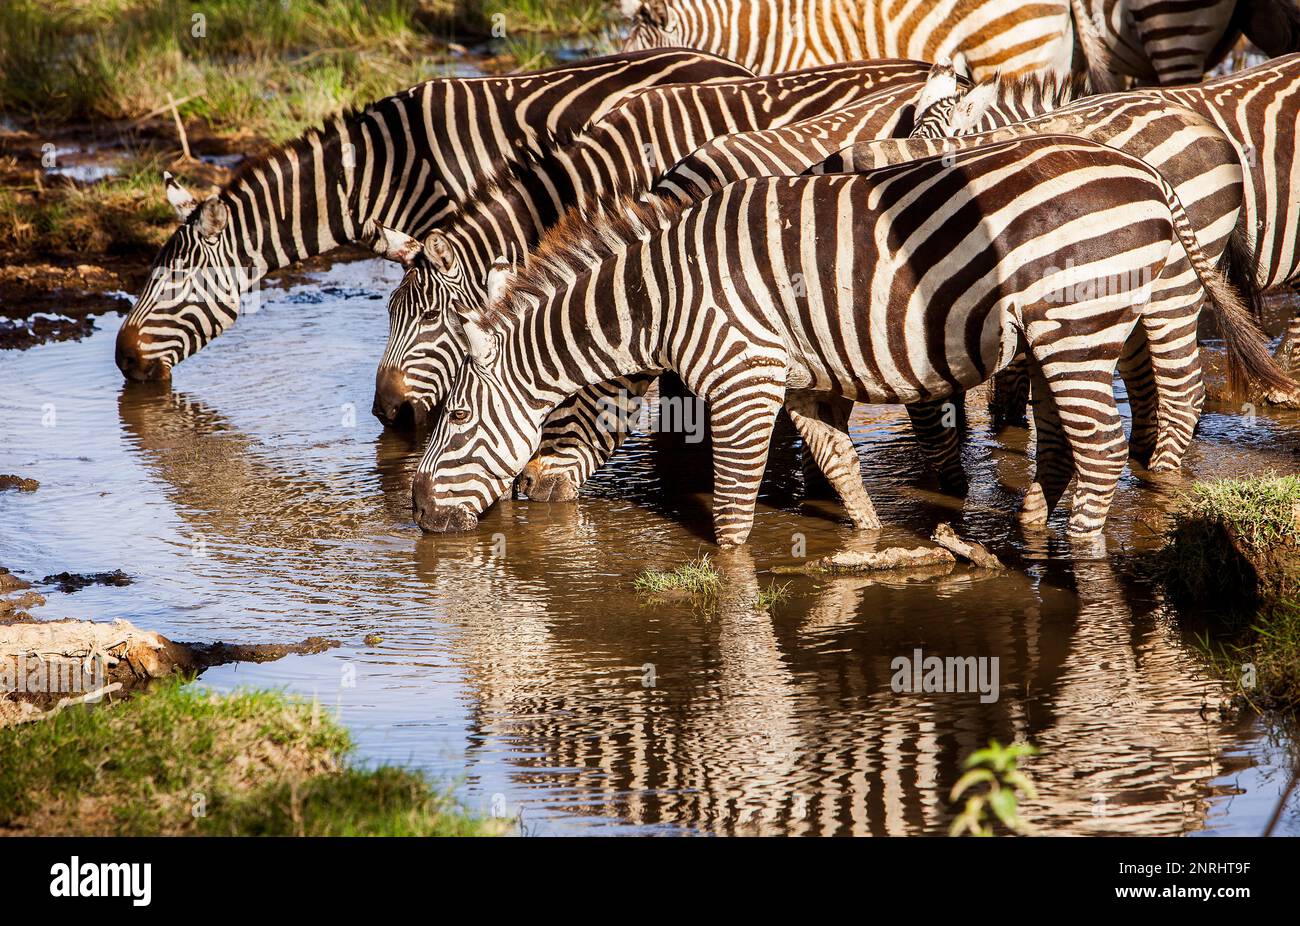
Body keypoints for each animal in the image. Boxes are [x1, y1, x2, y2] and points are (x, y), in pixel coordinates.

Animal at [409, 136, 1288, 545]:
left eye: (455, 419)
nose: (414, 509)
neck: (664, 296)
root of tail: (1142, 172)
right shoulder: (798, 377)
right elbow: (836, 463)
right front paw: (868, 544)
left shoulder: (743, 378)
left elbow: (733, 510)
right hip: (1082, 327)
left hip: (1084, 322)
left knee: (1118, 435)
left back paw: (1085, 544)